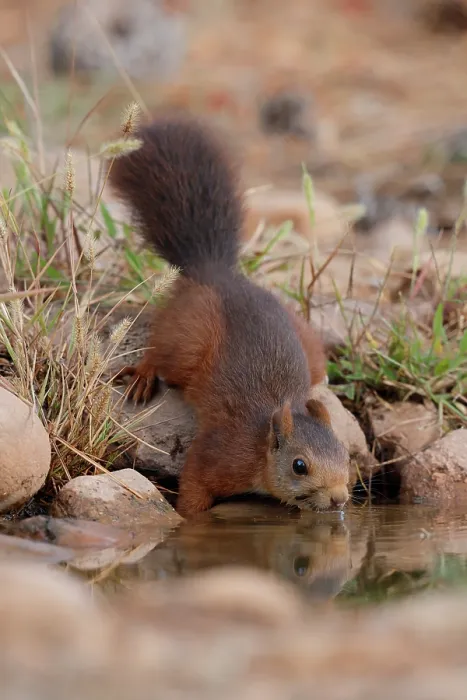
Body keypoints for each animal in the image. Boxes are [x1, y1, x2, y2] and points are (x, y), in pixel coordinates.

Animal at [108, 116, 350, 517]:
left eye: (347, 456)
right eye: (299, 465)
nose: (340, 499)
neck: (261, 446)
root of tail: (214, 271)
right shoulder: (222, 453)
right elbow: (194, 483)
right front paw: (187, 518)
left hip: (307, 343)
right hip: (187, 341)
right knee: (162, 350)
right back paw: (143, 374)